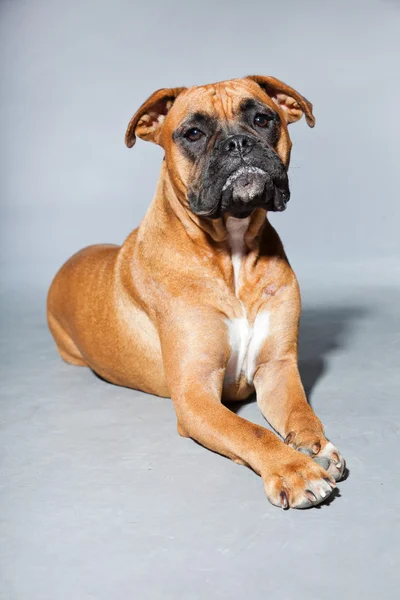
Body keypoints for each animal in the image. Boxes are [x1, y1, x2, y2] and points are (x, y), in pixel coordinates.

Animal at [47, 72, 346, 508]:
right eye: (192, 133)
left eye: (263, 119)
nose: (238, 143)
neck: (232, 252)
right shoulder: (196, 395)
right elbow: (251, 431)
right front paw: (294, 469)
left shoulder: (276, 368)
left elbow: (300, 411)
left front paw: (315, 446)